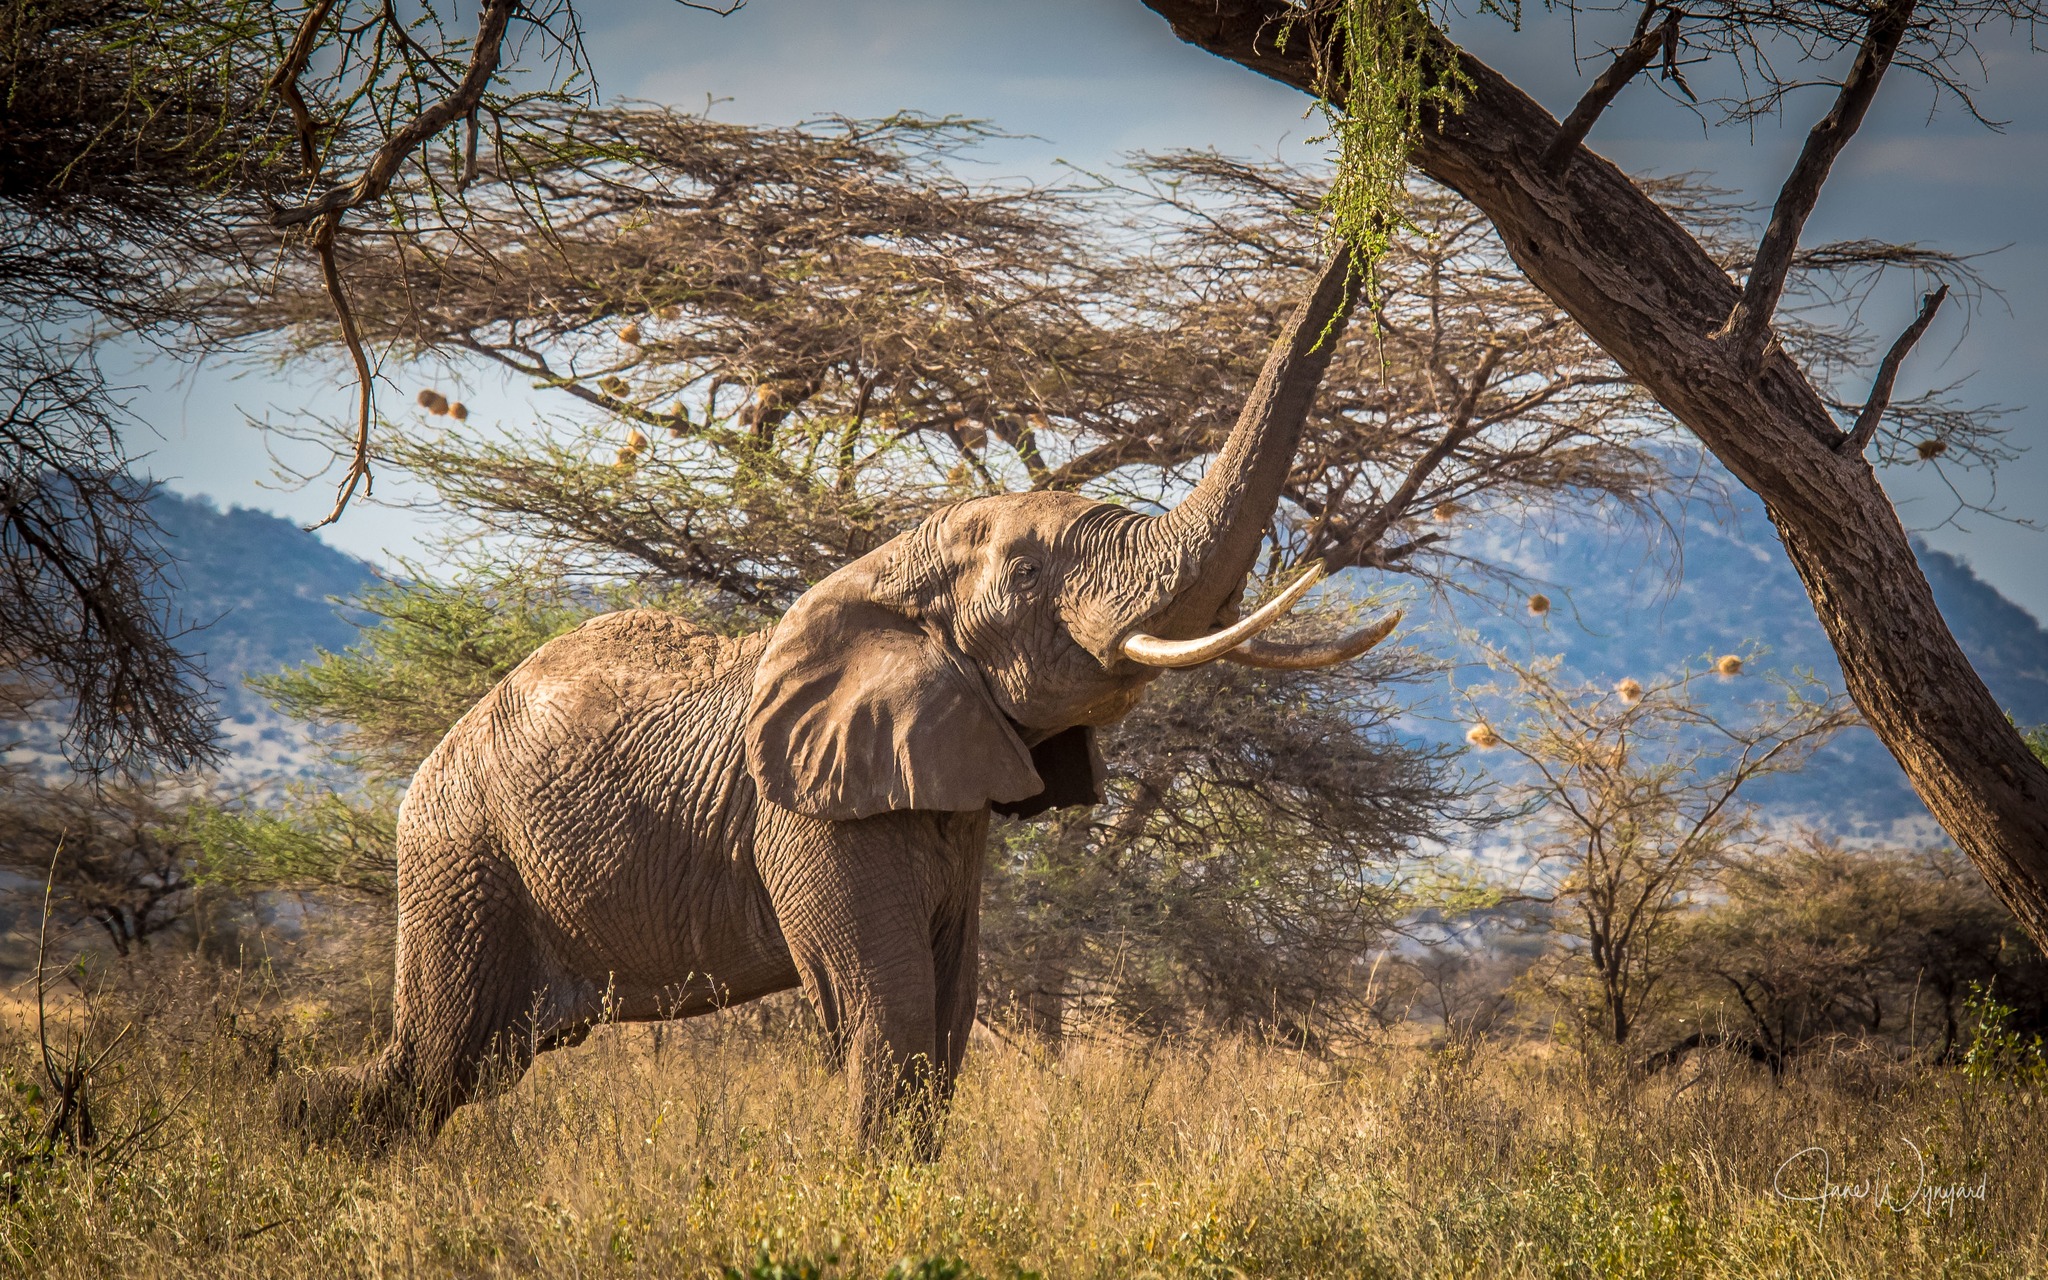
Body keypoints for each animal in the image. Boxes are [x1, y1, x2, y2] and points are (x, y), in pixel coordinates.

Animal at [289, 249, 1401, 1147]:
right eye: (1030, 572)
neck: (893, 569)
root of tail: (434, 757)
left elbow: (950, 1009)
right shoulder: (811, 816)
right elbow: (888, 1012)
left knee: (463, 1065)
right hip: (462, 854)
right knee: (443, 1055)